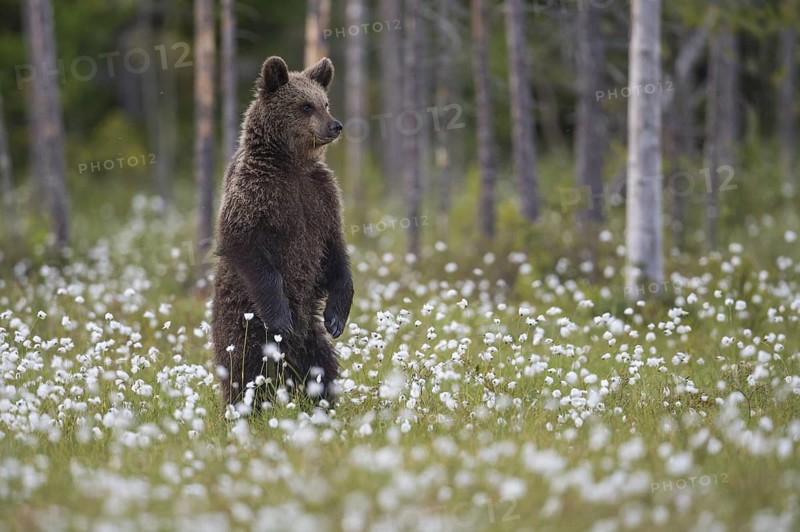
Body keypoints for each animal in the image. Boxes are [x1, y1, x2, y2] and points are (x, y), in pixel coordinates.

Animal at [211, 56, 354, 409]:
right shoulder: (256, 194)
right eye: (305, 106)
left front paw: (336, 317)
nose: (335, 125)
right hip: (242, 323)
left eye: (324, 102)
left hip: (310, 339)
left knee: (322, 367)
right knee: (244, 371)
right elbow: (245, 245)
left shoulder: (321, 197)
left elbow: (335, 249)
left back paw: (322, 403)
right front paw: (281, 318)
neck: (292, 163)